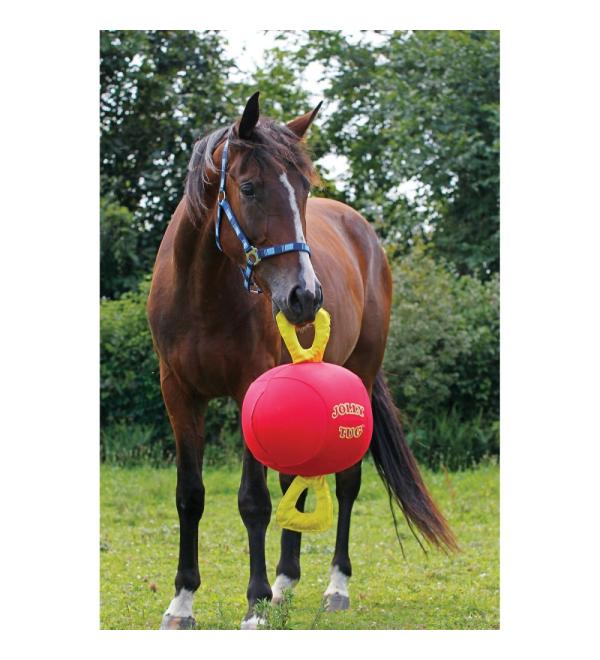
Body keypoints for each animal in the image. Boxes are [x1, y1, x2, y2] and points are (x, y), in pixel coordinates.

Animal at [147, 92, 457, 630]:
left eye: (305, 190)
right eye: (249, 187)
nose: (305, 297)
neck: (202, 293)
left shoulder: (249, 389)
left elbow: (253, 500)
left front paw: (253, 605)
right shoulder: (179, 395)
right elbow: (190, 496)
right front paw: (182, 603)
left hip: (360, 375)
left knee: (347, 482)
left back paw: (334, 587)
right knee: (297, 477)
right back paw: (284, 584)